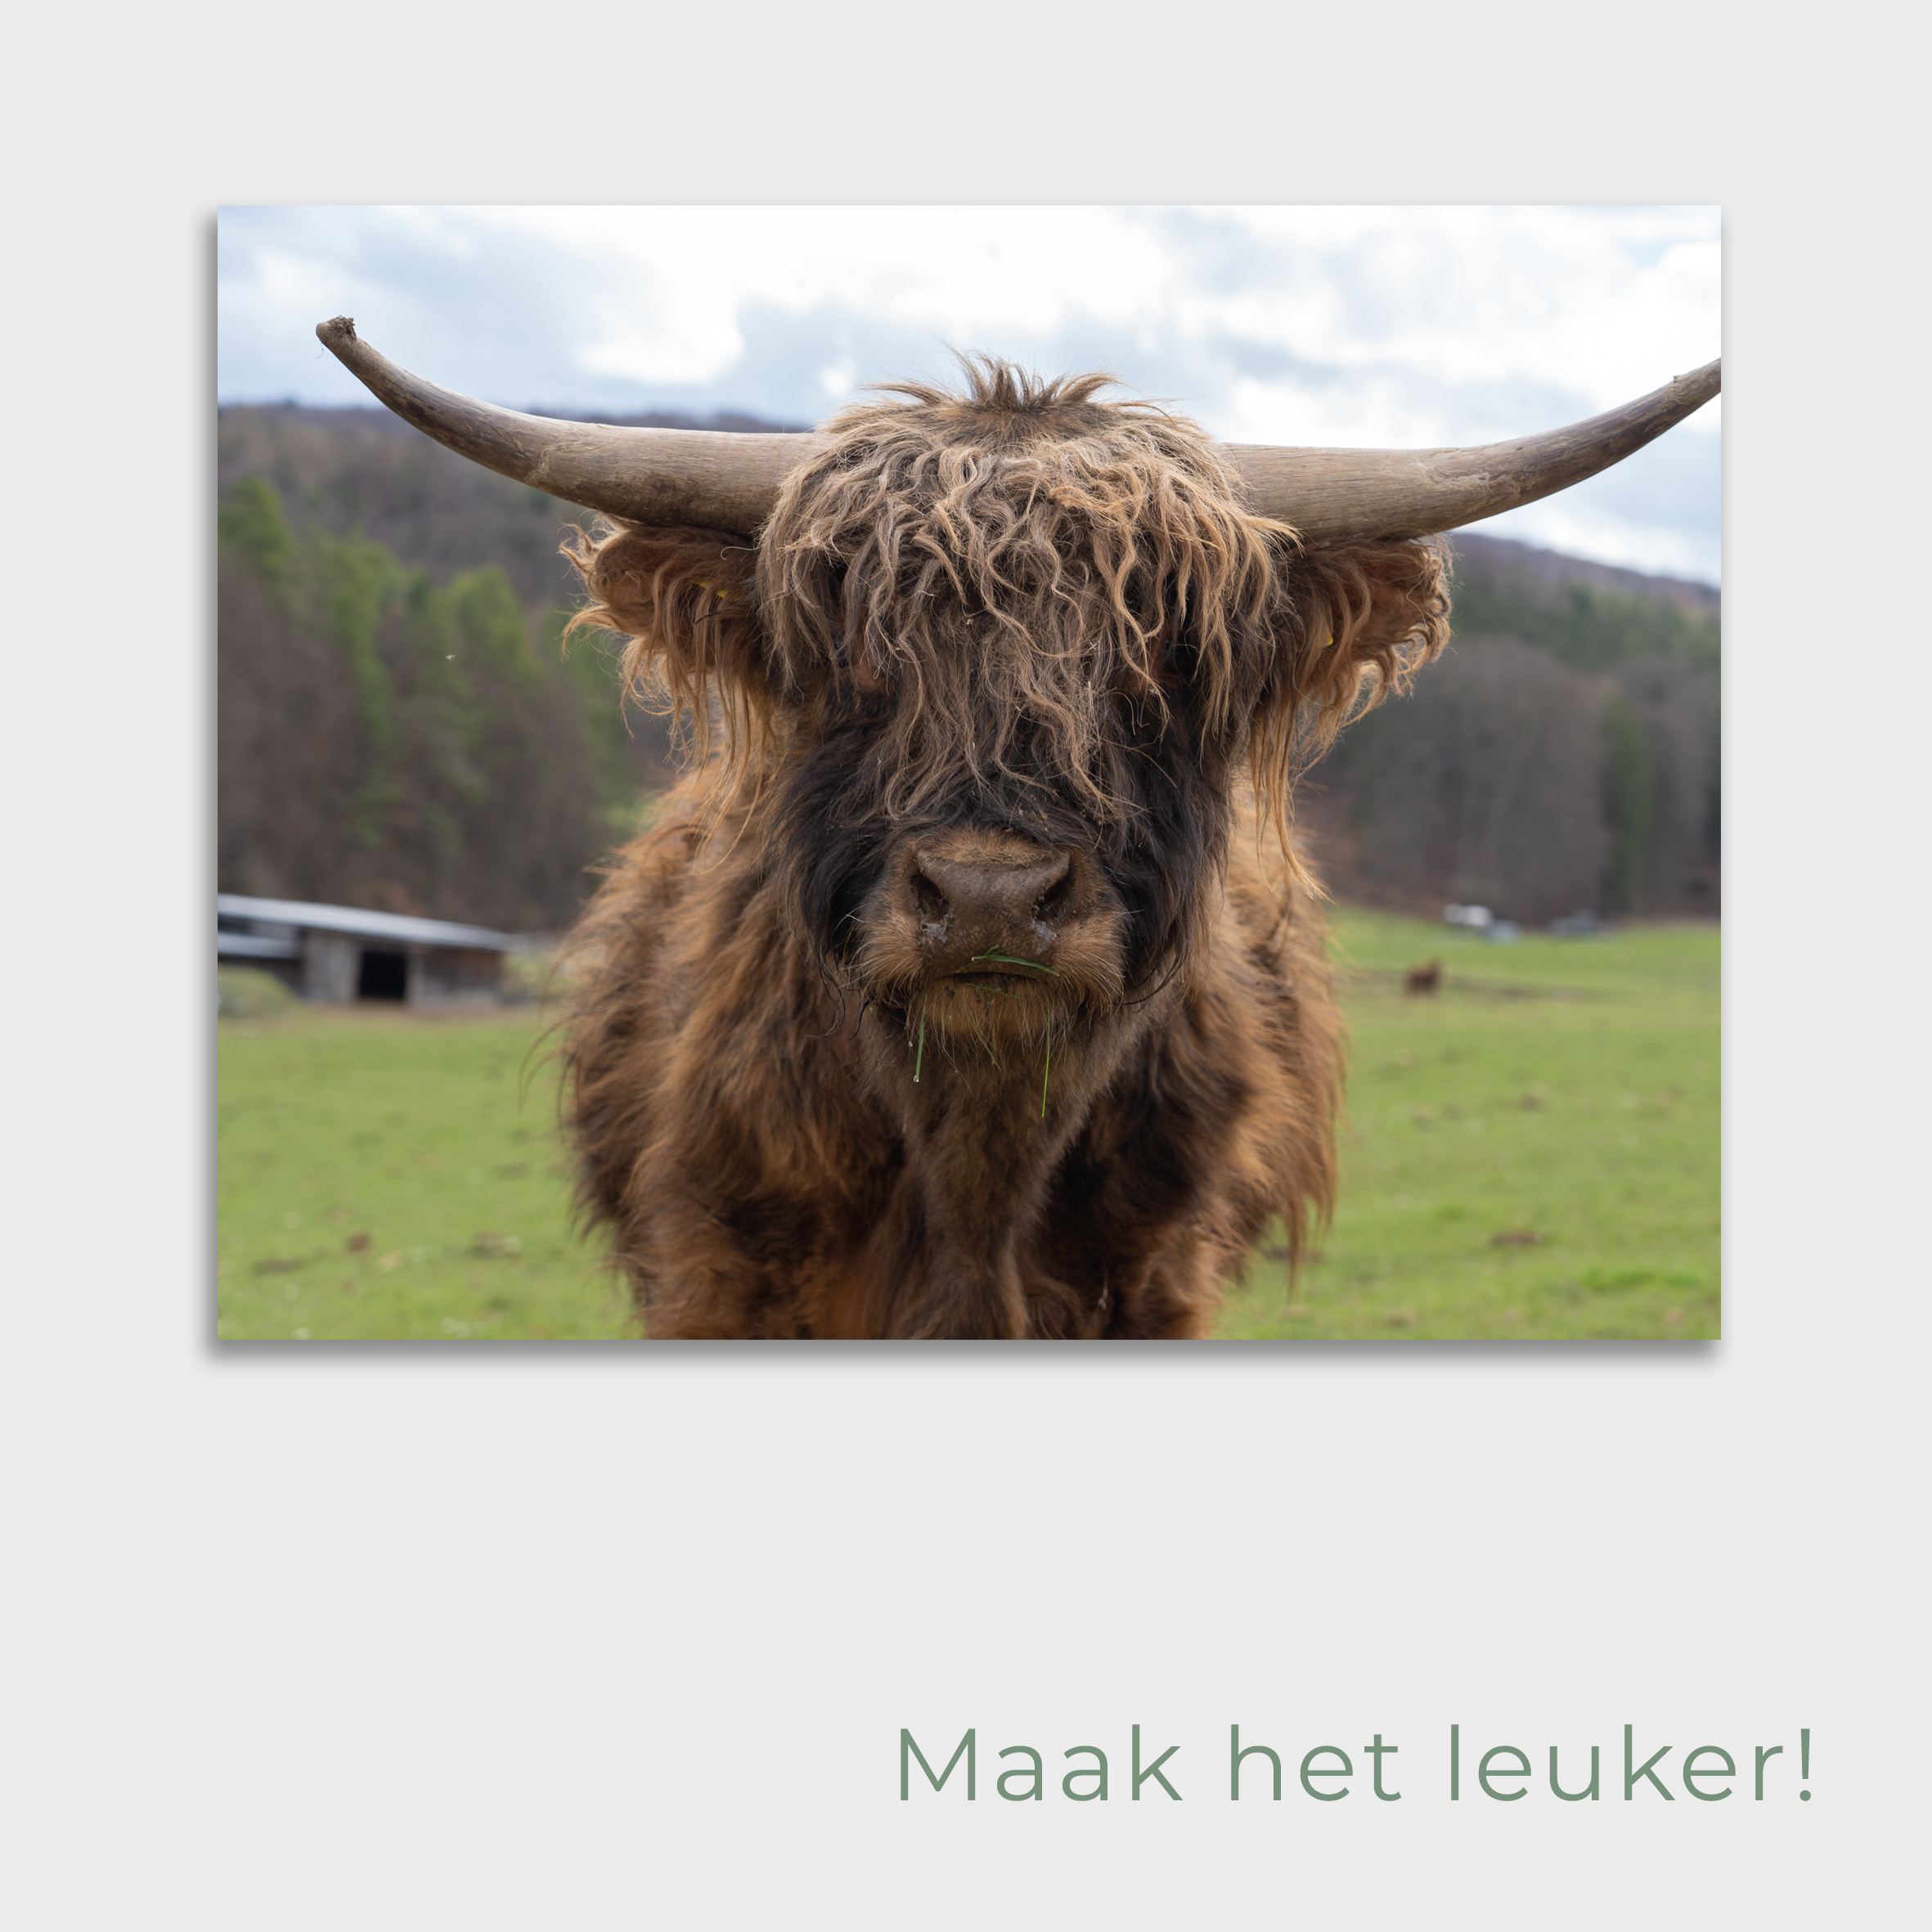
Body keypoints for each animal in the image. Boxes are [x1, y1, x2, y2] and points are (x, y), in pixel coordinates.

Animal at [316, 317, 1718, 1338]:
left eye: (1165, 664)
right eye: (851, 661)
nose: (989, 898)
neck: (975, 1177)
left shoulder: (1154, 1281)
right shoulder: (719, 1275)